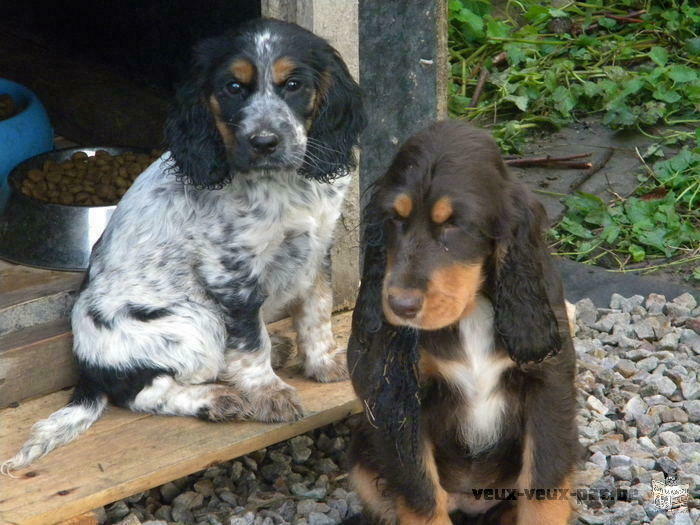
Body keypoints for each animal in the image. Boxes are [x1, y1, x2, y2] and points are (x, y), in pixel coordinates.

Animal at [346, 119, 580, 524]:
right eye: (395, 219)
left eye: (455, 225)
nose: (400, 305)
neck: (470, 311)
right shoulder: (398, 397)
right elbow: (421, 495)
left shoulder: (548, 382)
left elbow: (544, 484)